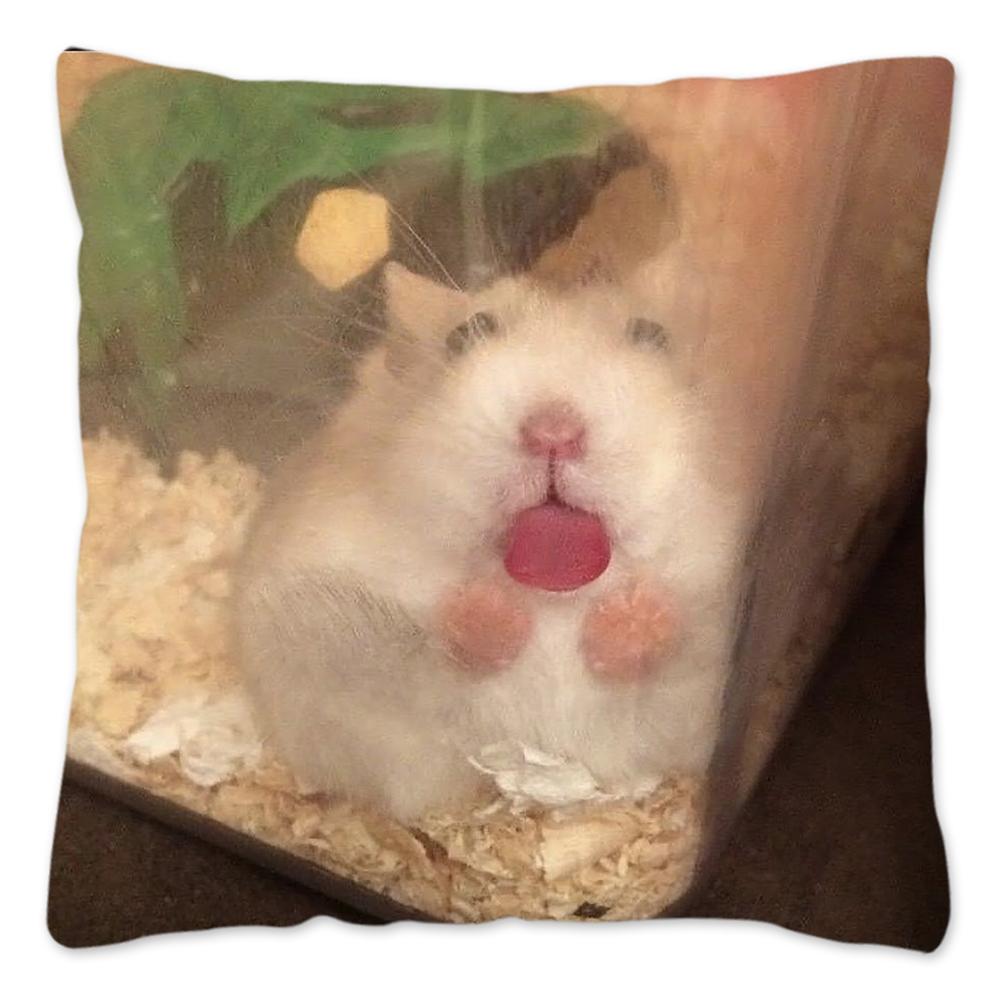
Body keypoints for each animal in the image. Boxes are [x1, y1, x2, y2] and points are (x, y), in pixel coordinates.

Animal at [233, 262, 746, 821]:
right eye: (465, 333)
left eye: (651, 335)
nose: (553, 431)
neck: (555, 602)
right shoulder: (310, 613)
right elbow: (421, 648)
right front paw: (495, 612)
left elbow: (682, 631)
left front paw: (625, 617)